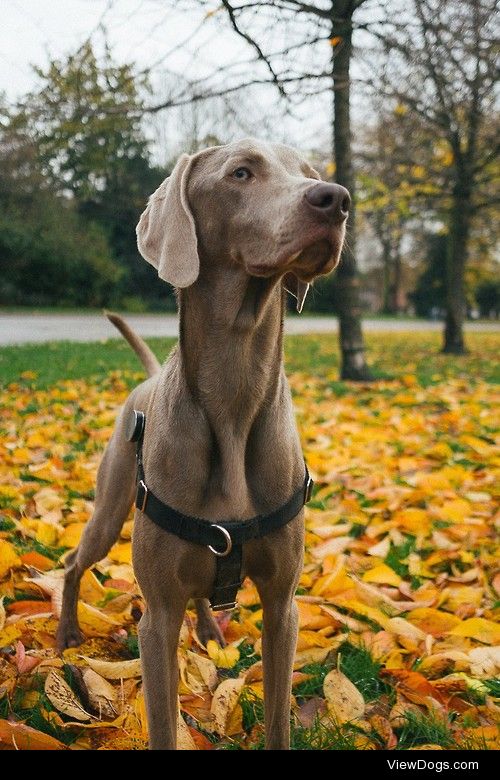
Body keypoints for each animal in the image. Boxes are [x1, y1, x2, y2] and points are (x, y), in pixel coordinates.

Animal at [57, 140, 348, 748]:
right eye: (241, 172)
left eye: (308, 172)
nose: (336, 199)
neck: (234, 399)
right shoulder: (157, 616)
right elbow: (163, 722)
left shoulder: (283, 606)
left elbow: (279, 718)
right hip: (112, 506)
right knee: (75, 562)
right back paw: (67, 632)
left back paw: (213, 632)